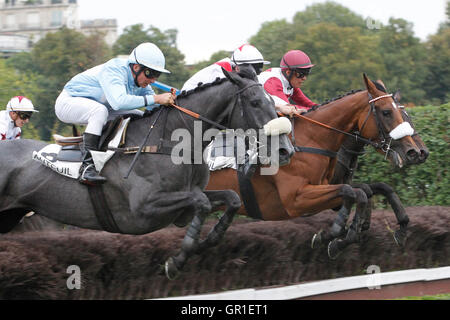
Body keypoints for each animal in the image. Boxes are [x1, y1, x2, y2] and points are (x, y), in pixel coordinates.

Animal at [0, 65, 296, 280]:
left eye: (273, 101)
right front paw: (176, 261)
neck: (167, 143)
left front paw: (205, 243)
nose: (285, 149)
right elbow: (201, 204)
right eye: (255, 102)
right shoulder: (143, 210)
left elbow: (231, 199)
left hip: (12, 215)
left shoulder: (188, 198)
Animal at [206, 74, 420, 258]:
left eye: (405, 114)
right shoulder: (295, 200)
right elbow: (354, 192)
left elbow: (368, 190)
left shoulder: (325, 187)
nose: (413, 152)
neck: (311, 141)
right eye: (387, 112)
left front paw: (397, 228)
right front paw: (333, 235)